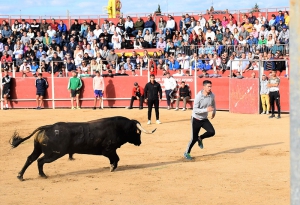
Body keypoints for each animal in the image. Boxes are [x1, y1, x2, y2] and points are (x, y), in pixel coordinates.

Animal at [9, 117, 156, 181]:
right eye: (137, 132)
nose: (140, 142)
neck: (118, 127)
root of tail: (48, 127)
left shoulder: (111, 151)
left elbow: (116, 158)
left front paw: (112, 167)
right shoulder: (108, 150)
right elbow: (116, 158)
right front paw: (112, 167)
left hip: (38, 149)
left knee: (30, 159)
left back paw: (20, 176)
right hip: (54, 154)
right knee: (40, 161)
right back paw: (43, 175)